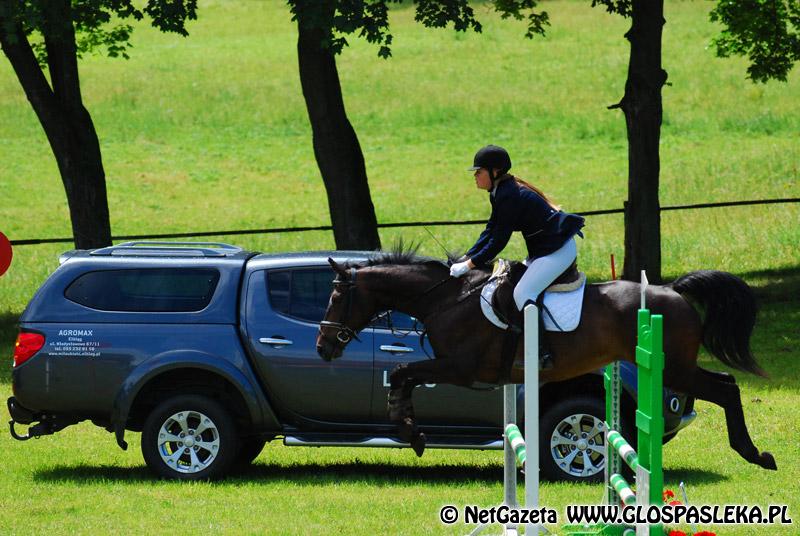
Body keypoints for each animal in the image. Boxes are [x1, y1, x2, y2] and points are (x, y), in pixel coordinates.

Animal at [315, 249, 776, 472]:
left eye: (336, 296)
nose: (323, 347)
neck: (446, 299)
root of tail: (675, 291)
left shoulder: (459, 368)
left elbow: (403, 372)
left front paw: (411, 433)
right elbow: (403, 375)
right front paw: (409, 429)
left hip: (674, 367)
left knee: (725, 388)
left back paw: (755, 454)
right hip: (676, 366)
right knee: (724, 382)